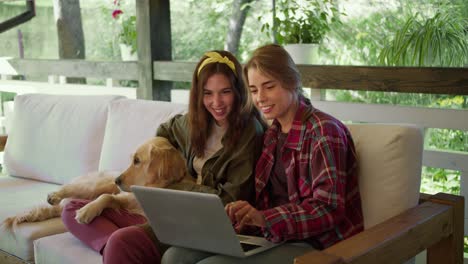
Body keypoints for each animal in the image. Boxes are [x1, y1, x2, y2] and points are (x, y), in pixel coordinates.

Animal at [0, 137, 194, 232]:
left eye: (137, 161)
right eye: (132, 159)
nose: (117, 180)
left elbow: (109, 198)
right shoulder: (123, 195)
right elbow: (106, 196)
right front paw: (87, 211)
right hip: (93, 185)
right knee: (69, 189)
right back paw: (54, 196)